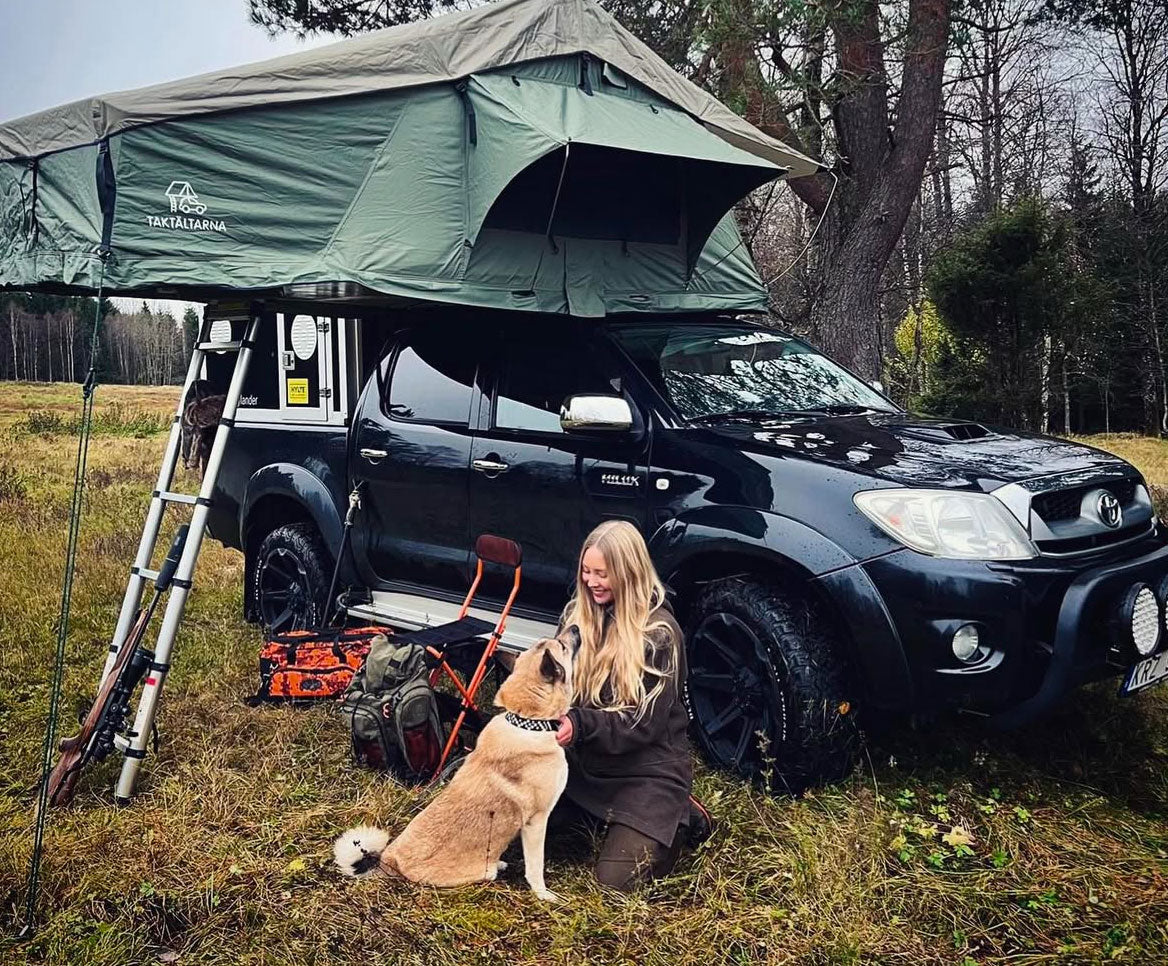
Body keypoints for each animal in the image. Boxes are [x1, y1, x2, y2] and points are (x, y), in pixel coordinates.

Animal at [334, 628, 578, 900]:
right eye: (562, 646)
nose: (575, 629)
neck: (527, 720)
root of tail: (389, 863)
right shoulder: (536, 822)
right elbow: (536, 867)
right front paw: (544, 895)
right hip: (482, 872)